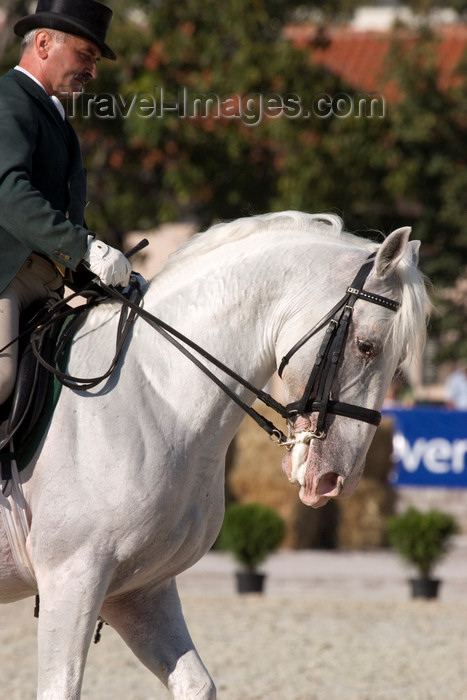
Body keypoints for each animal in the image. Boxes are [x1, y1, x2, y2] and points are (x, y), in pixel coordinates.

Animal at [0, 211, 430, 696]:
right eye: (366, 346)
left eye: (400, 365)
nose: (335, 480)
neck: (155, 393)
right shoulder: (71, 577)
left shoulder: (137, 589)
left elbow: (196, 684)